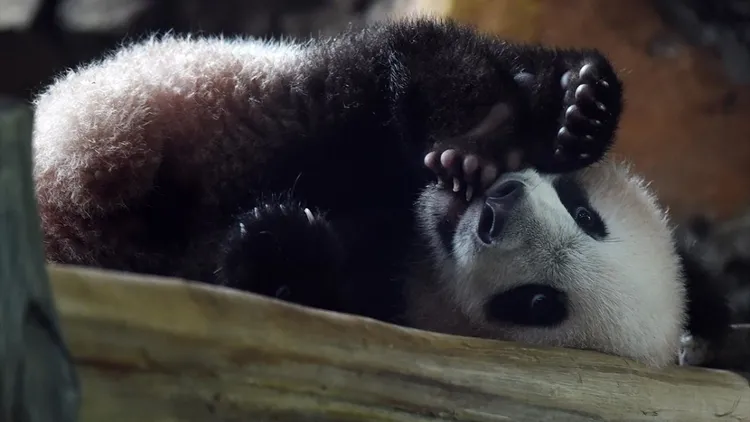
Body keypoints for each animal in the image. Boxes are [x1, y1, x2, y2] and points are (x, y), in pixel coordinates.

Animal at [31, 17, 729, 368]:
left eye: (537, 304)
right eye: (586, 213)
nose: (494, 207)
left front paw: (280, 239)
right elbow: (411, 56)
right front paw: (556, 112)